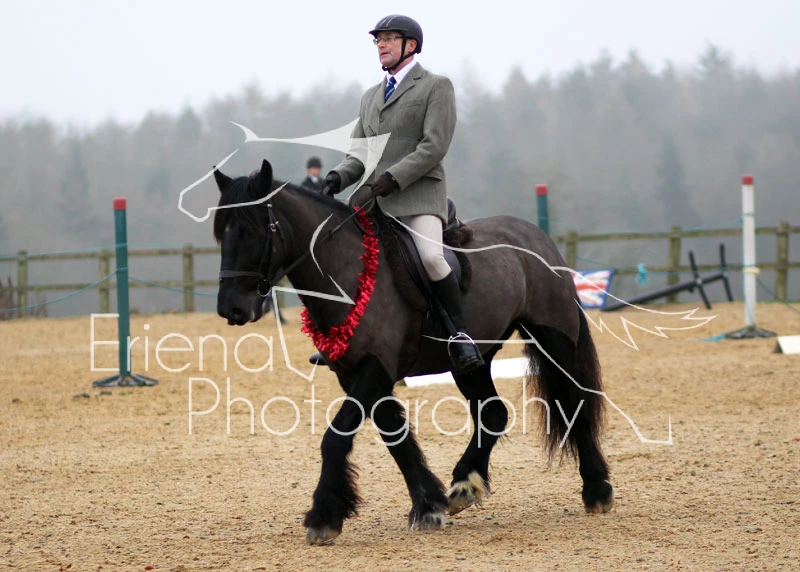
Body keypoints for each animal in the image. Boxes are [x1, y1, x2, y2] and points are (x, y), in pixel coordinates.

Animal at [214, 159, 614, 545]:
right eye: (221, 233)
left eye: (253, 230)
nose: (231, 309)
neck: (348, 269)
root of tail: (535, 235)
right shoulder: (353, 371)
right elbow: (396, 437)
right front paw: (428, 505)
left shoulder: (376, 367)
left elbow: (337, 436)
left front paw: (324, 516)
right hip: (472, 362)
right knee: (493, 413)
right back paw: (464, 485)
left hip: (553, 339)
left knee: (575, 402)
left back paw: (597, 489)